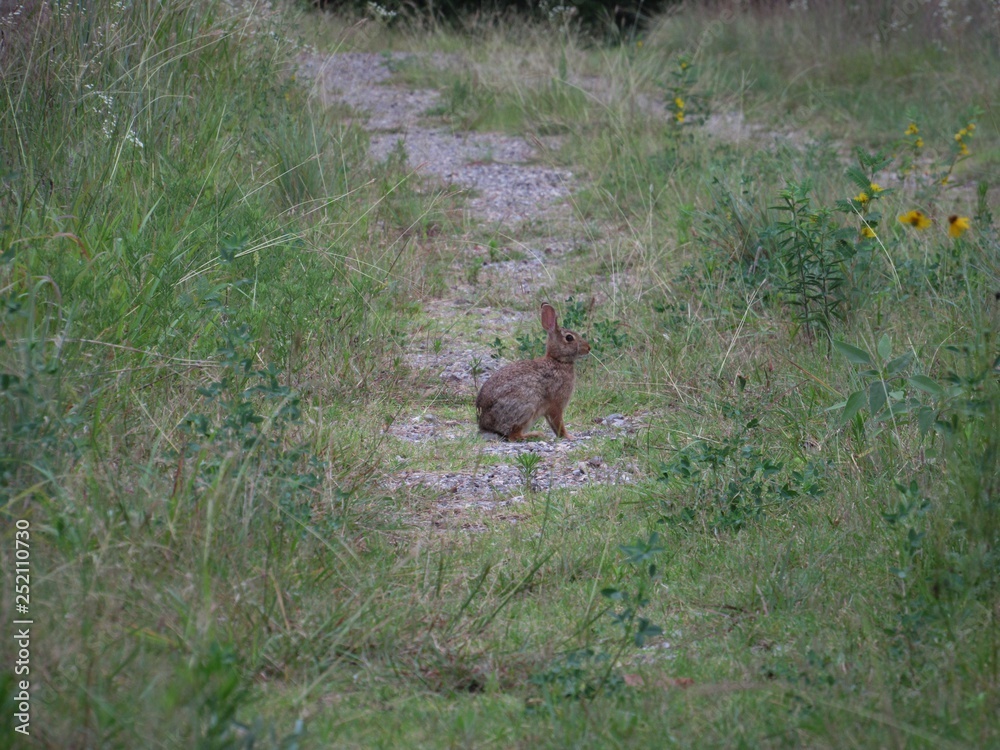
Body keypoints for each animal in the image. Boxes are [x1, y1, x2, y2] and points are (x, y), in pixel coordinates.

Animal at [476, 303, 590, 441]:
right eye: (569, 337)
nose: (588, 348)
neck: (557, 360)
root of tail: (484, 423)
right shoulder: (556, 404)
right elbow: (558, 423)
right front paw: (569, 436)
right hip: (527, 406)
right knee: (514, 435)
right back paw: (536, 434)